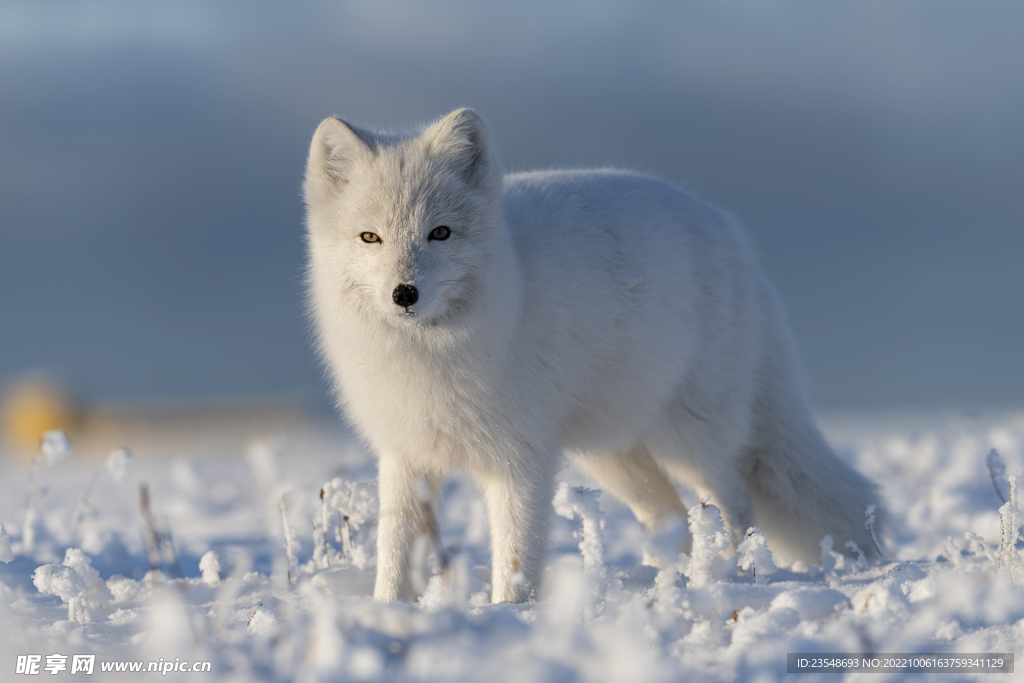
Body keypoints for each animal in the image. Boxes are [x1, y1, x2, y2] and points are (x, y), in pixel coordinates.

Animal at [299, 108, 884, 602]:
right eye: (370, 237)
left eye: (439, 232)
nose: (405, 293)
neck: (430, 353)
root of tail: (732, 235)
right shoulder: (406, 454)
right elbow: (396, 551)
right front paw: (389, 611)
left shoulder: (521, 460)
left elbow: (516, 557)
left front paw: (506, 617)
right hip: (613, 455)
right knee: (670, 516)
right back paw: (668, 581)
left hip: (687, 437)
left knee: (735, 504)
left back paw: (727, 575)